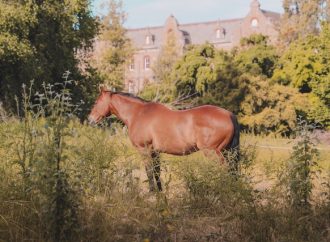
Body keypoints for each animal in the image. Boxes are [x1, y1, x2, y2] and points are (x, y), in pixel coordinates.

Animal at [88, 87, 240, 191]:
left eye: (96, 102)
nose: (90, 120)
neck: (138, 113)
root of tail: (229, 114)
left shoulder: (144, 150)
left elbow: (149, 171)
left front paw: (151, 192)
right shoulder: (155, 152)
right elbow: (156, 172)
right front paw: (160, 193)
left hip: (213, 152)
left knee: (224, 169)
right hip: (226, 152)